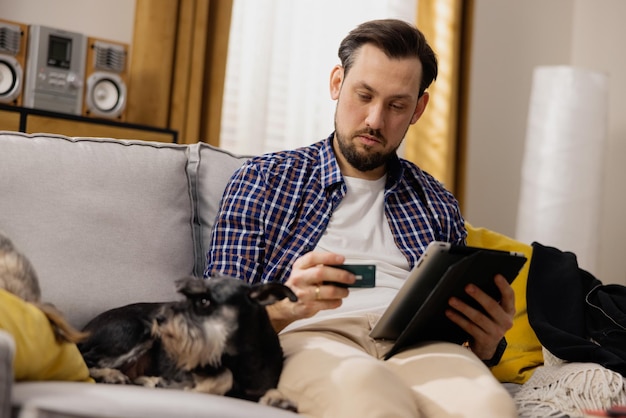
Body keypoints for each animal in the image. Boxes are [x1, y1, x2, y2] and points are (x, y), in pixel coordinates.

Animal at [77, 274, 300, 412]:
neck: (241, 357)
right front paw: (195, 389)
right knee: (88, 360)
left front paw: (280, 400)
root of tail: (84, 330)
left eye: (204, 301)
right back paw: (113, 375)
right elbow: (224, 375)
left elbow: (269, 390)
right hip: (137, 330)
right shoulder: (188, 368)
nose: (160, 318)